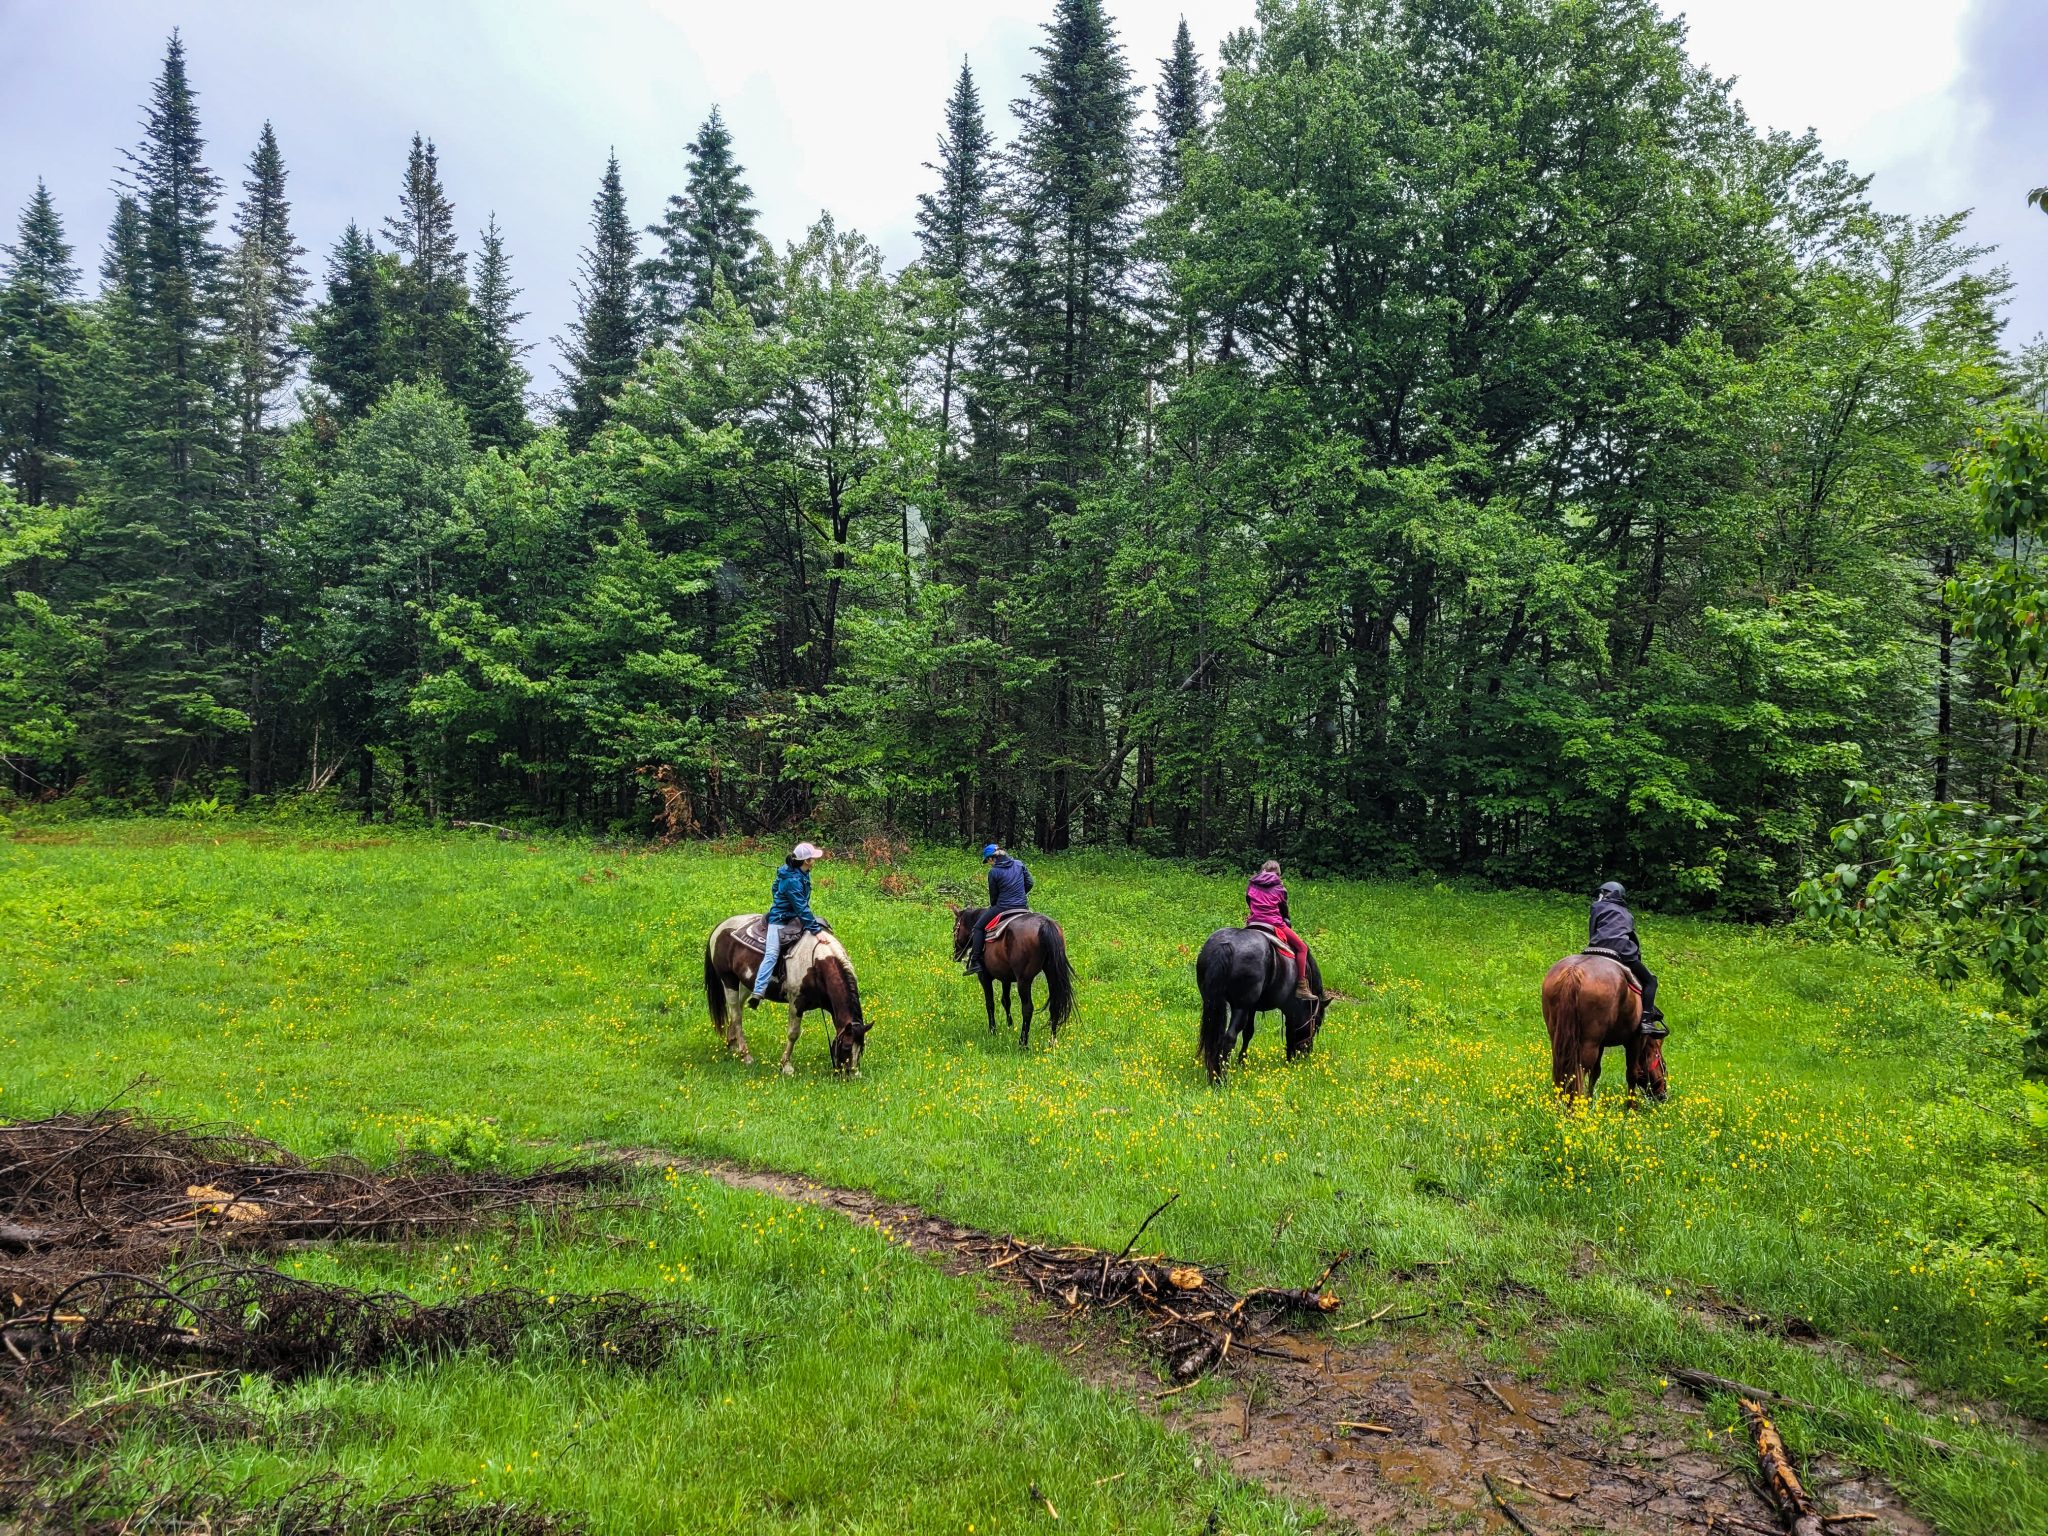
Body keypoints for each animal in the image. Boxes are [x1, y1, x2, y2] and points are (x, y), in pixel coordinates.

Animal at [700, 921, 868, 1073]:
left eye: (861, 1048)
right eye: (846, 1046)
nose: (854, 1075)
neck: (817, 964)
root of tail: (720, 926)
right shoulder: (796, 1003)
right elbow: (793, 1034)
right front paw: (786, 1066)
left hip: (746, 984)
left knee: (737, 1010)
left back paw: (733, 1045)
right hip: (729, 981)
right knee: (736, 1016)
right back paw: (746, 1055)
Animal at [946, 909, 1081, 1056]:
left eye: (954, 928)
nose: (955, 955)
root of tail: (1045, 924)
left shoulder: (984, 977)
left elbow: (990, 1004)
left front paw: (992, 1031)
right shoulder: (1006, 978)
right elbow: (1006, 1001)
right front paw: (1009, 1026)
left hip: (1024, 980)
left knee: (1027, 1009)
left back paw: (1023, 1044)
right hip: (1051, 973)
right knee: (1054, 1005)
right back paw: (1052, 1042)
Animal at [1196, 925, 1327, 1081]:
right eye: (1316, 1025)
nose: (1305, 1055)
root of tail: (1225, 945)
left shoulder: (1252, 1008)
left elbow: (1248, 1032)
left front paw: (1242, 1062)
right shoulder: (1290, 1008)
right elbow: (1290, 1031)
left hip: (1213, 1002)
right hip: (1240, 1007)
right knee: (1229, 1038)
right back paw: (1222, 1078)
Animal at [1540, 950, 1662, 1105]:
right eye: (1660, 1059)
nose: (1663, 1096)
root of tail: (1573, 971)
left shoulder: (1602, 1043)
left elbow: (1595, 1073)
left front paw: (1591, 1101)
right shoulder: (1636, 1040)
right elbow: (1632, 1073)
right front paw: (1631, 1107)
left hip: (1558, 1037)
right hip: (1589, 1042)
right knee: (1580, 1071)